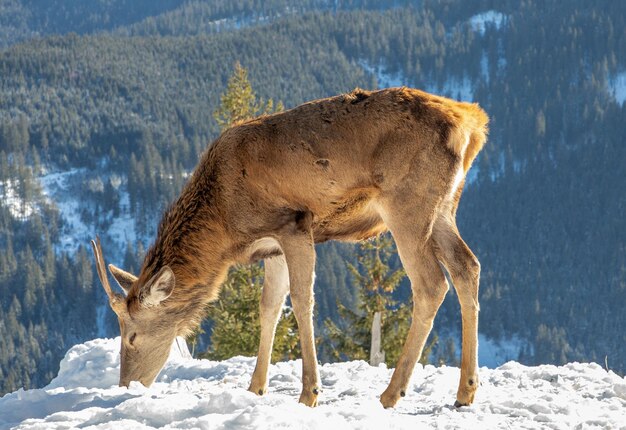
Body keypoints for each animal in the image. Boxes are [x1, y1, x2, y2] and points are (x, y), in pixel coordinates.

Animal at [91, 85, 488, 408]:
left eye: (131, 336)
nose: (126, 385)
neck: (225, 225)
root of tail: (472, 124)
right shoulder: (273, 246)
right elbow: (269, 307)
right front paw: (255, 387)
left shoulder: (294, 223)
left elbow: (301, 301)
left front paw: (309, 393)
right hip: (444, 207)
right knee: (468, 266)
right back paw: (465, 390)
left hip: (407, 203)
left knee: (431, 283)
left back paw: (392, 393)